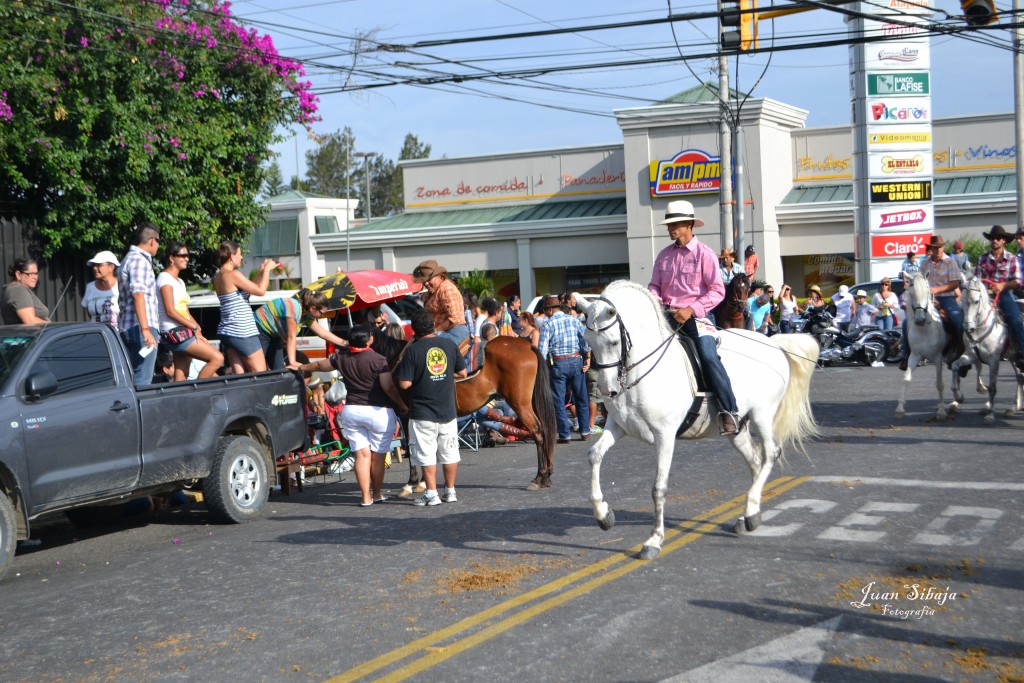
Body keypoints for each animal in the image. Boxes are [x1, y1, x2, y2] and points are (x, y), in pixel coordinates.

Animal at [395, 335, 557, 491]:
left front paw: (414, 481)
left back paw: (539, 477)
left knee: (538, 432)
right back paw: (546, 475)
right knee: (544, 430)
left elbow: (415, 447)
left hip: (520, 404)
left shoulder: (408, 416)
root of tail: (527, 346)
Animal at [585, 282, 815, 561]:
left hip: (763, 414)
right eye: (587, 341)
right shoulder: (618, 427)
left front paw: (654, 540)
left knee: (771, 453)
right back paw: (749, 515)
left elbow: (658, 488)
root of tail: (773, 343)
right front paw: (603, 515)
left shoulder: (664, 436)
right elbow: (594, 455)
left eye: (613, 341)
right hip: (738, 428)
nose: (608, 390)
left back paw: (750, 513)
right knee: (755, 461)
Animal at [892, 272, 962, 421]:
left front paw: (941, 411)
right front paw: (900, 409)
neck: (924, 329)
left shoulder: (938, 358)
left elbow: (939, 384)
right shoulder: (914, 356)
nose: (920, 320)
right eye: (911, 293)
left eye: (927, 292)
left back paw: (955, 402)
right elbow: (906, 379)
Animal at [946, 274, 1019, 421]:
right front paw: (958, 396)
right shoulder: (971, 355)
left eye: (976, 301)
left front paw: (990, 414)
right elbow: (956, 365)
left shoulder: (994, 360)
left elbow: (992, 387)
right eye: (962, 300)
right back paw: (1014, 408)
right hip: (1013, 358)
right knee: (1021, 377)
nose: (968, 327)